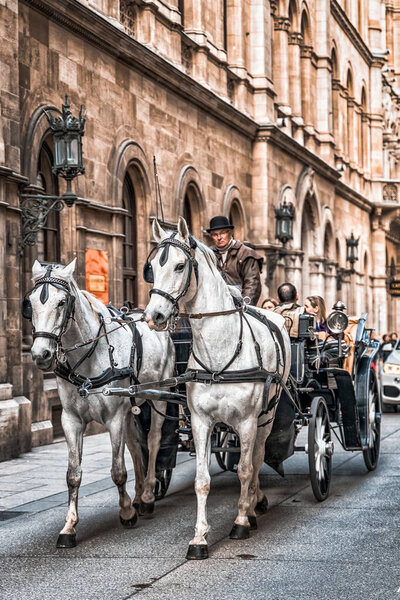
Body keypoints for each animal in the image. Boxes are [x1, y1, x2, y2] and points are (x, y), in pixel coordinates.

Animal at [25, 258, 174, 548]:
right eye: (31, 302)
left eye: (62, 302)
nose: (41, 354)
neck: (89, 356)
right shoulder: (71, 420)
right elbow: (73, 474)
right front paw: (69, 527)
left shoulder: (114, 418)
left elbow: (117, 470)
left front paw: (126, 512)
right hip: (130, 405)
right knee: (135, 446)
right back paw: (138, 495)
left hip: (159, 395)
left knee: (153, 440)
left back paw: (147, 497)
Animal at [144, 218, 290, 560]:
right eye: (152, 268)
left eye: (180, 265)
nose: (154, 316)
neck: (219, 353)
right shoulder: (201, 421)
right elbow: (202, 480)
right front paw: (199, 538)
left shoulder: (248, 420)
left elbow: (246, 470)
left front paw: (240, 521)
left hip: (266, 416)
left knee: (257, 456)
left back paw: (252, 506)